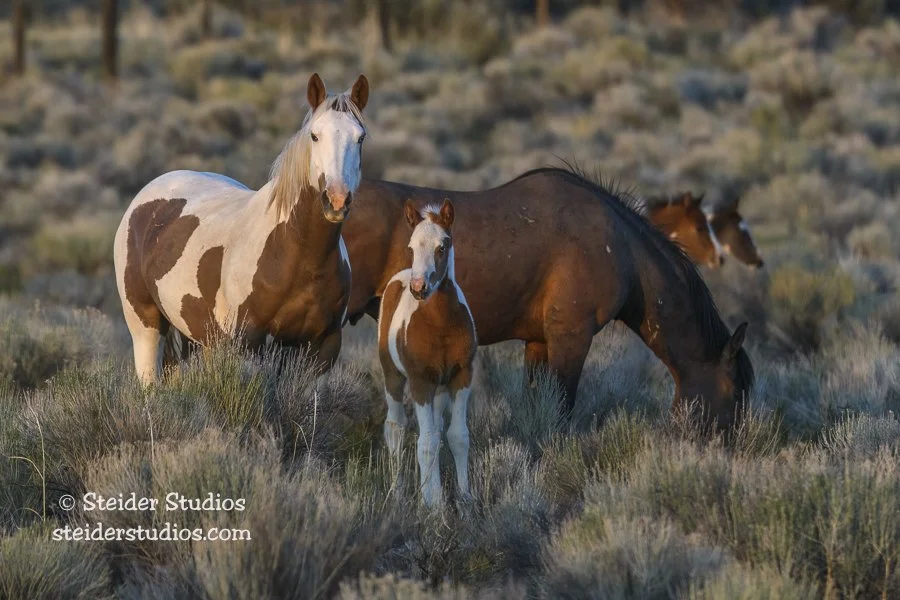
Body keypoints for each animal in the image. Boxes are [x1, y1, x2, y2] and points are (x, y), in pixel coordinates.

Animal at [113, 73, 369, 385]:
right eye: (315, 135)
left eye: (360, 137)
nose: (336, 199)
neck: (295, 254)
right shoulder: (249, 344)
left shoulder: (321, 348)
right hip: (145, 327)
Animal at [344, 166, 753, 429]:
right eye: (735, 393)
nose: (732, 450)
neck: (620, 247)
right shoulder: (570, 339)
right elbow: (561, 409)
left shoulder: (538, 342)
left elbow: (535, 407)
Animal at [378, 199, 476, 508]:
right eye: (411, 248)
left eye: (441, 247)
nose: (419, 288)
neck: (441, 323)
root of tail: (401, 277)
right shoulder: (420, 382)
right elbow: (427, 442)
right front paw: (432, 503)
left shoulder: (462, 376)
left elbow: (457, 436)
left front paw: (465, 499)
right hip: (393, 376)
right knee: (396, 427)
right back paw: (397, 492)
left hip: (440, 389)